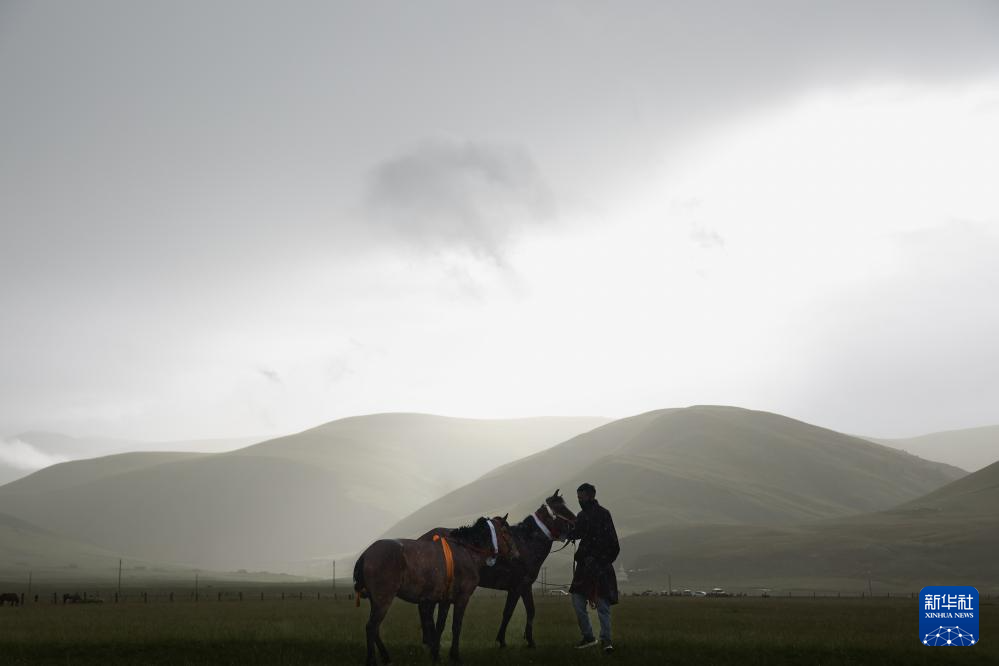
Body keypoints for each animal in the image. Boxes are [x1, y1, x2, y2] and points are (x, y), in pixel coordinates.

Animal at [356, 512, 520, 664]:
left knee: (375, 629)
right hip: (383, 600)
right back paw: (372, 659)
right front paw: (454, 655)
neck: (466, 552)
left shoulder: (444, 600)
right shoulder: (462, 599)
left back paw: (386, 656)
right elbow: (456, 626)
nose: (516, 555)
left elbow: (439, 626)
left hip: (376, 602)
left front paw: (435, 654)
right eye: (507, 532)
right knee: (371, 627)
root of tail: (366, 553)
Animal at [422, 488, 580, 644]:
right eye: (560, 508)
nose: (576, 523)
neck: (525, 544)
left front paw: (528, 640)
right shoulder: (517, 587)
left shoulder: (525, 587)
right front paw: (504, 640)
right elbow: (509, 612)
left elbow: (529, 611)